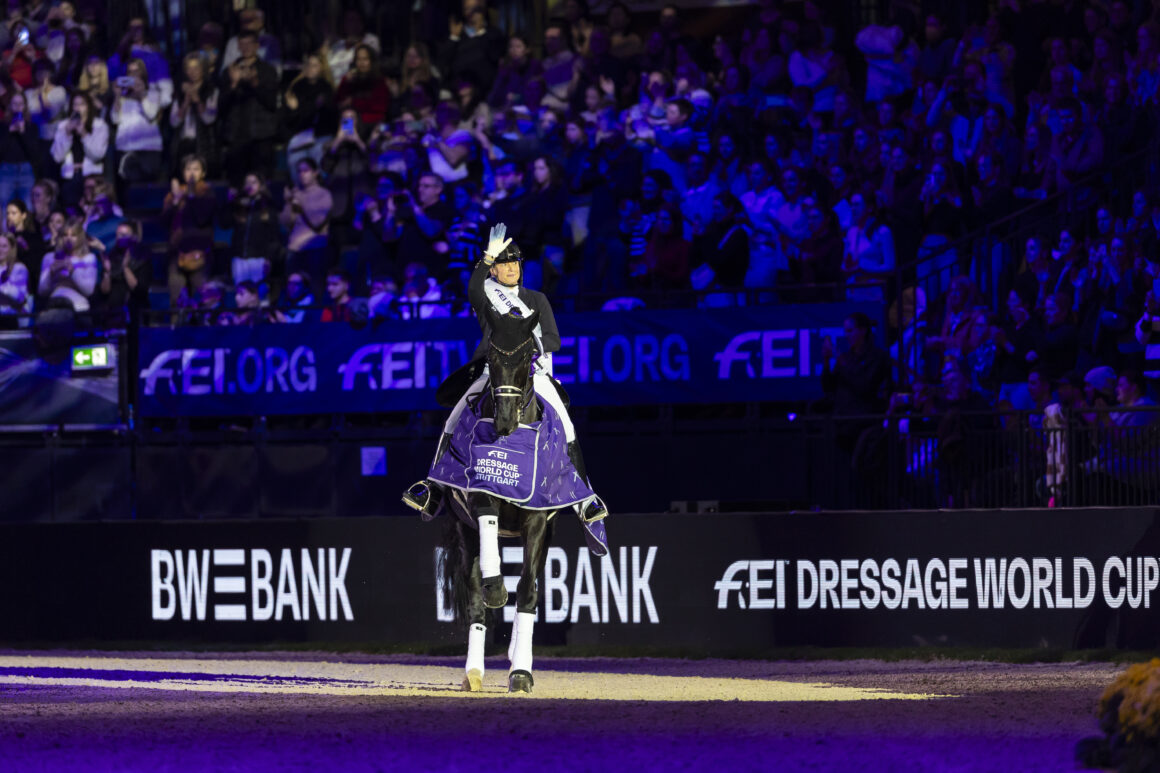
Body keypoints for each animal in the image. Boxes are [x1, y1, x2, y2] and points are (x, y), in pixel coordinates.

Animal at [436, 306, 559, 691]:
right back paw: (473, 672)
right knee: (475, 601)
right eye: (490, 357)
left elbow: (528, 591)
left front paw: (521, 672)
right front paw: (495, 588)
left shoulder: (538, 521)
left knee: (528, 586)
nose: (504, 421)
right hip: (464, 533)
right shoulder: (479, 497)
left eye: (527, 356)